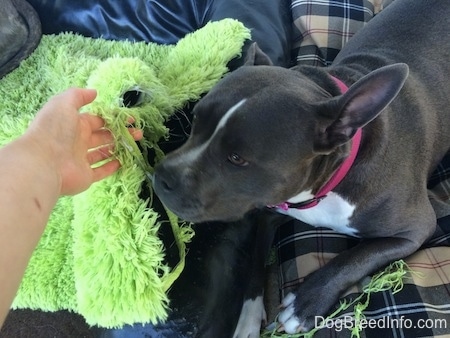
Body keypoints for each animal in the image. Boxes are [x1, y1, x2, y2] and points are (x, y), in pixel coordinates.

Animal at [154, 0, 450, 336]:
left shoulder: (416, 230)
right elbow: (255, 261)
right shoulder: (267, 210)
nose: (161, 177)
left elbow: (357, 256)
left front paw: (306, 303)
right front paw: (247, 318)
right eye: (195, 122)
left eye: (237, 158)